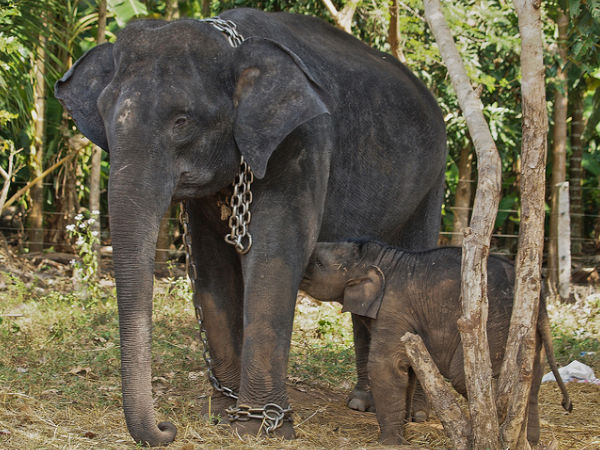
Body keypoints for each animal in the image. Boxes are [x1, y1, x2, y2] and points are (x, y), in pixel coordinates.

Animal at [55, 7, 446, 446]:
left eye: (182, 120)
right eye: (104, 117)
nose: (167, 428)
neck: (230, 43)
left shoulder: (303, 142)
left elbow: (275, 257)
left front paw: (258, 427)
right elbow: (212, 268)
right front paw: (221, 412)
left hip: (433, 176)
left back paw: (418, 414)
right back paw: (362, 403)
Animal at [300, 241, 572, 444]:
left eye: (319, 263)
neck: (377, 254)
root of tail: (539, 298)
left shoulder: (393, 307)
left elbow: (386, 366)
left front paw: (390, 443)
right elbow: (408, 370)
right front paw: (403, 433)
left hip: (496, 323)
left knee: (469, 376)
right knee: (531, 382)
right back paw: (530, 441)